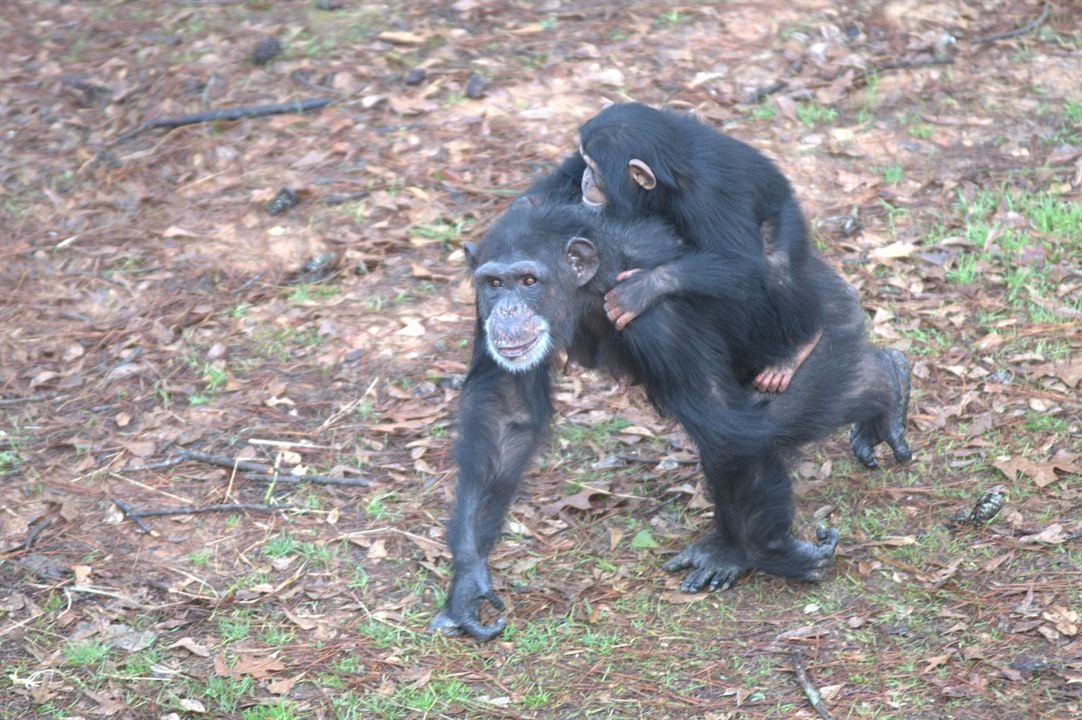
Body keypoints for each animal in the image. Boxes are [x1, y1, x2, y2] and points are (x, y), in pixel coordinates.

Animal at [430, 198, 913, 640]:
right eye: (494, 283)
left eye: (529, 281)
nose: (508, 309)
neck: (589, 285)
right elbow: (507, 412)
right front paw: (469, 580)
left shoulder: (659, 318)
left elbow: (722, 424)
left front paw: (772, 554)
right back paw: (884, 385)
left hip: (820, 332)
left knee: (769, 419)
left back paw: (882, 381)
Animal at [525, 102, 817, 394]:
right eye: (585, 162)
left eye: (594, 170)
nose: (586, 178)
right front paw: (533, 206)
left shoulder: (706, 195)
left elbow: (741, 261)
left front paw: (641, 289)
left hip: (785, 210)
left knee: (777, 265)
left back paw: (795, 351)